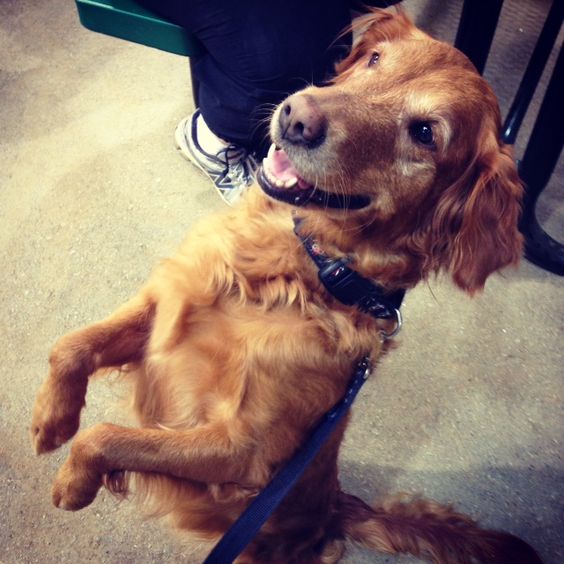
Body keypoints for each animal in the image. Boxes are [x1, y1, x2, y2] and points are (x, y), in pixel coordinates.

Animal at [32, 8, 540, 564]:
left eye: (425, 132)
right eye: (375, 59)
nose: (298, 115)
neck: (300, 268)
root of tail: (339, 506)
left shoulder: (241, 450)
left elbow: (107, 437)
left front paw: (73, 481)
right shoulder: (164, 307)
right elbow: (70, 345)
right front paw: (51, 421)